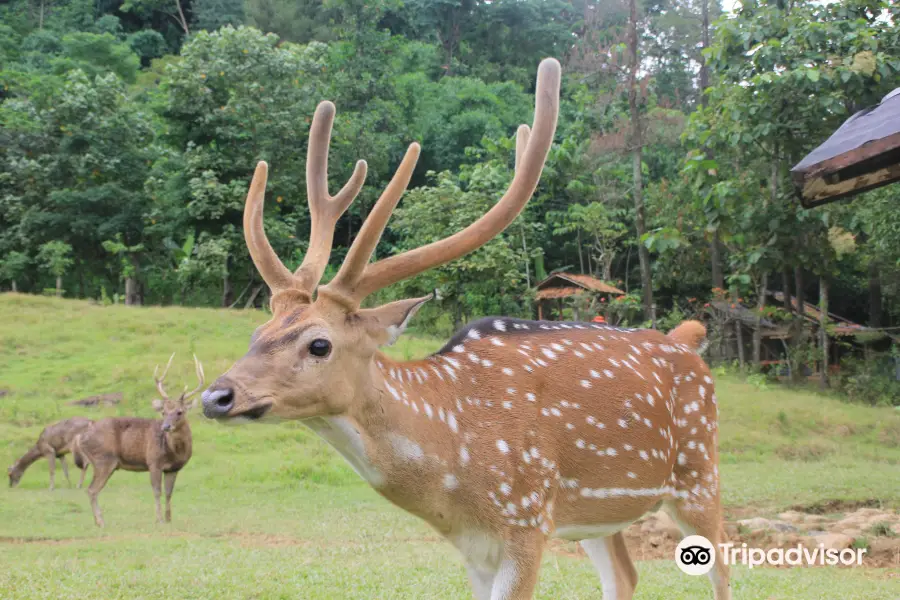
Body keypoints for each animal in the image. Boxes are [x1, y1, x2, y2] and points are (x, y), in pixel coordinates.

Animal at [74, 354, 205, 528]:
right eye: (163, 412)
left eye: (179, 412)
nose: (165, 427)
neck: (174, 451)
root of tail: (81, 437)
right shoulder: (153, 462)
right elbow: (157, 491)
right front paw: (159, 519)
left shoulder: (173, 468)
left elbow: (169, 493)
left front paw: (169, 518)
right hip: (103, 459)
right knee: (91, 490)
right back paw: (101, 522)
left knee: (91, 489)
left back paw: (98, 521)